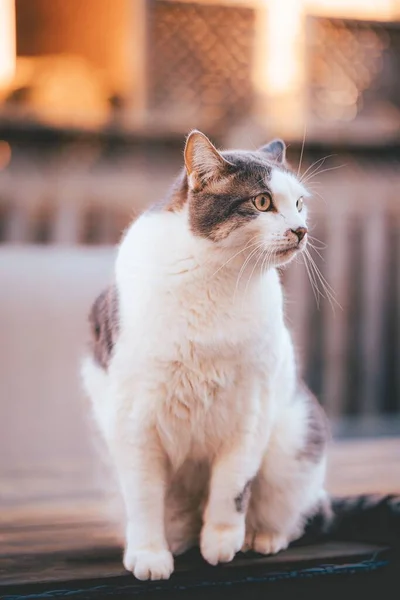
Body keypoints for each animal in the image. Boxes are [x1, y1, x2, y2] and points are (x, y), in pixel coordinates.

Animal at [80, 131, 396, 580]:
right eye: (262, 202)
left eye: (299, 203)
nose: (301, 230)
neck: (216, 277)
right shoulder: (132, 417)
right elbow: (143, 496)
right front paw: (149, 554)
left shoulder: (251, 410)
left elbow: (232, 486)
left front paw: (222, 542)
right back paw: (179, 539)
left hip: (294, 443)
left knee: (305, 516)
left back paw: (262, 537)